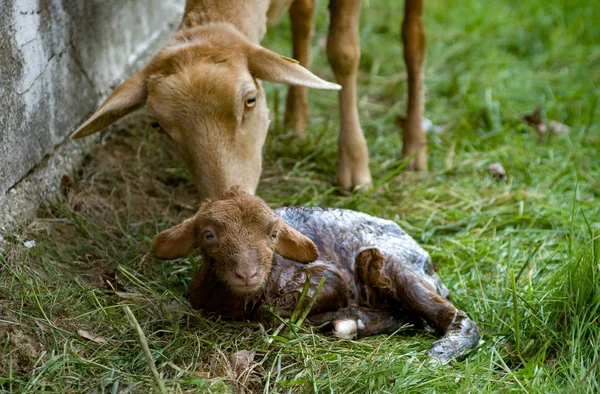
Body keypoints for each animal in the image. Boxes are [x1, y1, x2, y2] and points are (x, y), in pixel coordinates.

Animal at [152, 187, 480, 360]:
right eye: (209, 234)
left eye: (273, 235)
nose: (247, 274)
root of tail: (427, 260)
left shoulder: (330, 278)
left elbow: (271, 312)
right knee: (408, 316)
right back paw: (353, 322)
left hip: (391, 262)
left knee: (452, 316)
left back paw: (440, 351)